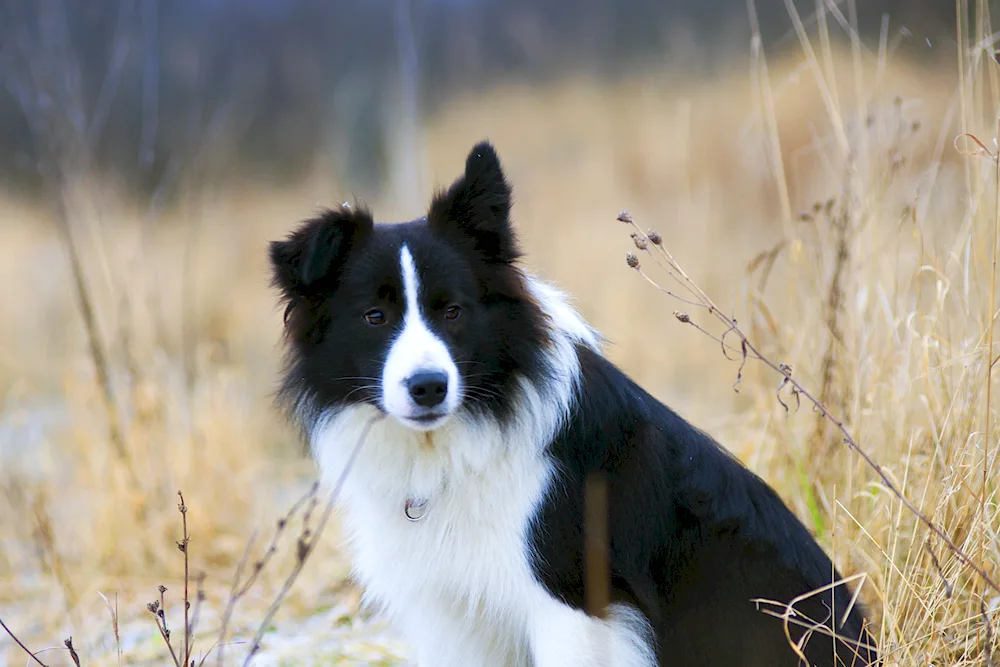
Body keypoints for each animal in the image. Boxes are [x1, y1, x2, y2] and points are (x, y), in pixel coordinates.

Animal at [270, 138, 880, 664]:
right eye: (375, 317)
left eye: (453, 311)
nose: (428, 386)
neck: (454, 445)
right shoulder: (459, 614)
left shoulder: (575, 608)